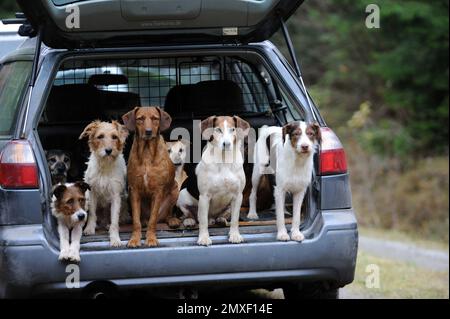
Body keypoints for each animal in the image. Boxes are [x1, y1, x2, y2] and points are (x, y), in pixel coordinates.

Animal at [78, 120, 128, 248]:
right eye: (100, 136)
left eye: (114, 137)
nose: (108, 150)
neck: (105, 165)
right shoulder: (92, 193)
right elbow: (92, 214)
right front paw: (89, 229)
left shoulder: (116, 196)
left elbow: (115, 220)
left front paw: (115, 238)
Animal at [123, 106, 181, 249]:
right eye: (140, 119)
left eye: (155, 118)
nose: (148, 132)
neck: (146, 152)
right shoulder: (134, 190)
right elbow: (136, 221)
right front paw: (135, 239)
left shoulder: (158, 191)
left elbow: (153, 220)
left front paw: (150, 238)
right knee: (142, 219)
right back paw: (144, 220)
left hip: (175, 190)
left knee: (166, 214)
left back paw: (172, 220)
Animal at [178, 116, 251, 246]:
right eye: (218, 129)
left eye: (233, 129)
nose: (226, 144)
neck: (224, 160)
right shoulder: (204, 196)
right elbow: (203, 222)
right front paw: (203, 238)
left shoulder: (238, 196)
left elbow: (235, 220)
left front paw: (234, 235)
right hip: (182, 197)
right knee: (191, 215)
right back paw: (189, 221)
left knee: (221, 216)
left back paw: (221, 219)